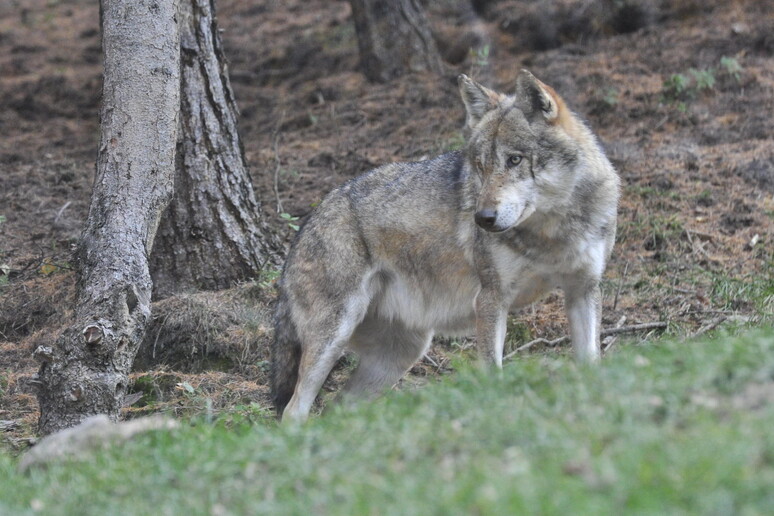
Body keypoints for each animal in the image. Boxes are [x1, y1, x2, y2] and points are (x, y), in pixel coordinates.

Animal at [270, 69, 620, 424]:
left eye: (514, 160)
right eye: (480, 166)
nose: (483, 218)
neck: (551, 232)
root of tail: (305, 225)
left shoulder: (583, 290)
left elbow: (591, 362)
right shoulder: (491, 300)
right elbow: (493, 372)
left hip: (401, 354)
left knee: (337, 410)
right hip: (335, 338)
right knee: (294, 410)